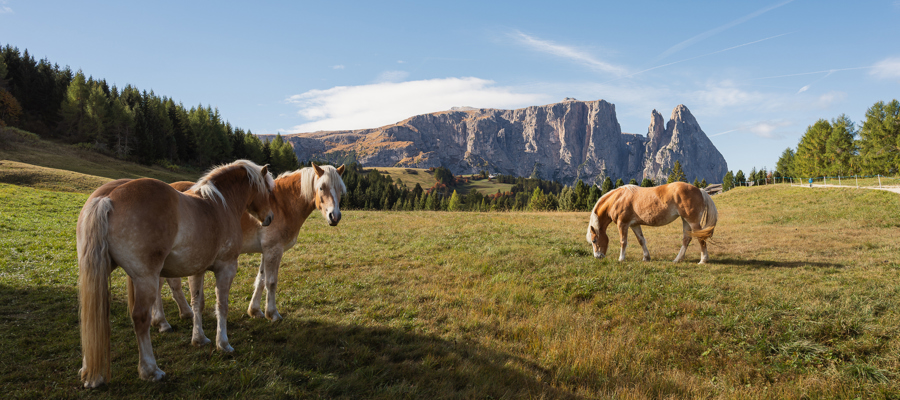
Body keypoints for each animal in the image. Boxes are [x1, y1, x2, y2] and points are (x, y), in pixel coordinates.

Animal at [76, 160, 275, 388]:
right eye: (269, 190)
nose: (270, 218)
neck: (220, 204)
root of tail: (108, 197)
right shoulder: (226, 268)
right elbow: (221, 306)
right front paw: (223, 344)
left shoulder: (197, 269)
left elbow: (198, 304)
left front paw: (199, 339)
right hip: (145, 278)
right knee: (140, 318)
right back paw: (150, 370)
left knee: (92, 314)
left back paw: (91, 373)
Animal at [150, 163, 346, 332]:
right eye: (321, 188)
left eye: (340, 190)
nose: (334, 216)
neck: (282, 204)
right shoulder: (273, 250)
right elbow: (271, 282)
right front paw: (273, 314)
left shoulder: (266, 251)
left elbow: (260, 280)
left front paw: (255, 310)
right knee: (158, 285)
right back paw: (162, 322)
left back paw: (183, 313)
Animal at [586, 182, 718, 264]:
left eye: (594, 240)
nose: (597, 256)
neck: (617, 198)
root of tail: (700, 190)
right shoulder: (634, 225)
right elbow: (641, 240)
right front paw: (646, 257)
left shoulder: (622, 224)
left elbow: (623, 242)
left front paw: (621, 259)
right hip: (685, 220)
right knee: (686, 239)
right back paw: (677, 259)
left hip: (693, 221)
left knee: (700, 238)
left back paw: (703, 260)